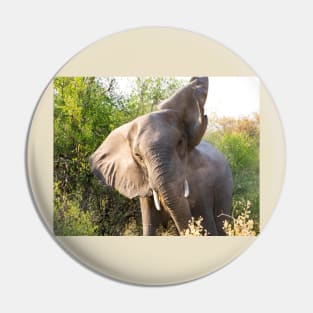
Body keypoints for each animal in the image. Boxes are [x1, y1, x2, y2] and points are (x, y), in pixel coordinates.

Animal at [90, 77, 232, 234]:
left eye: (180, 143)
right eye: (138, 156)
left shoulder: (202, 185)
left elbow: (207, 225)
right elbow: (148, 227)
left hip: (225, 185)